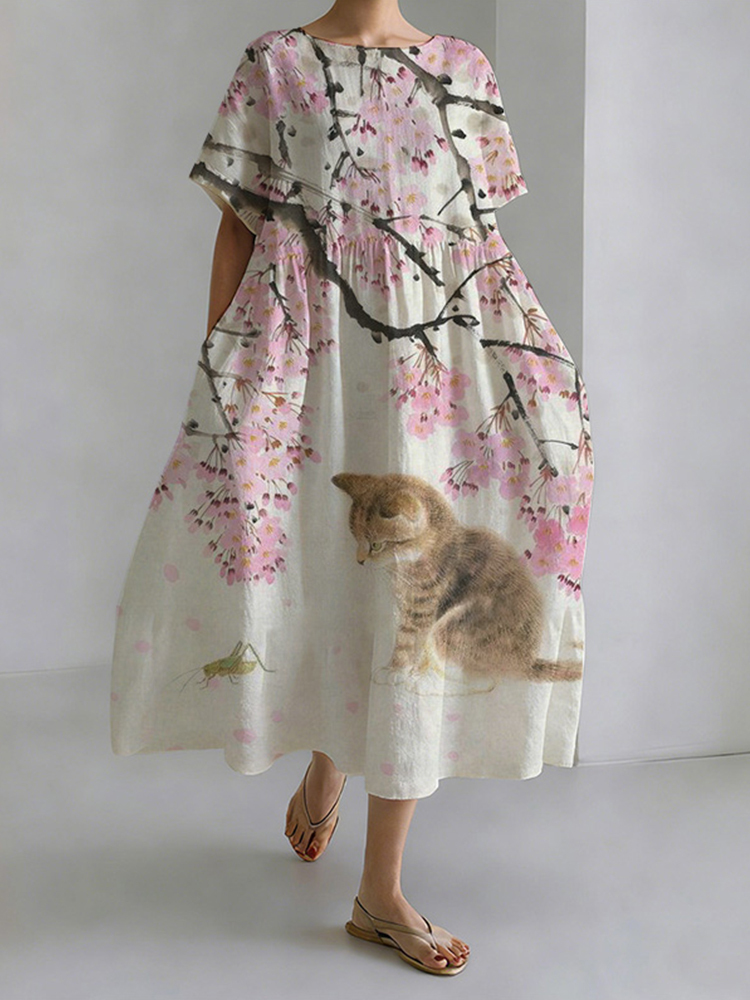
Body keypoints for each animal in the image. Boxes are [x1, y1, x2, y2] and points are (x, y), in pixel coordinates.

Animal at [331, 471, 582, 692]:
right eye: (355, 538)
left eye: (376, 545)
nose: (359, 561)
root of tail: (526, 661)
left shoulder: (422, 605)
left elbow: (407, 639)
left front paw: (396, 670)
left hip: (455, 624)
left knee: (483, 679)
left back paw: (424, 681)